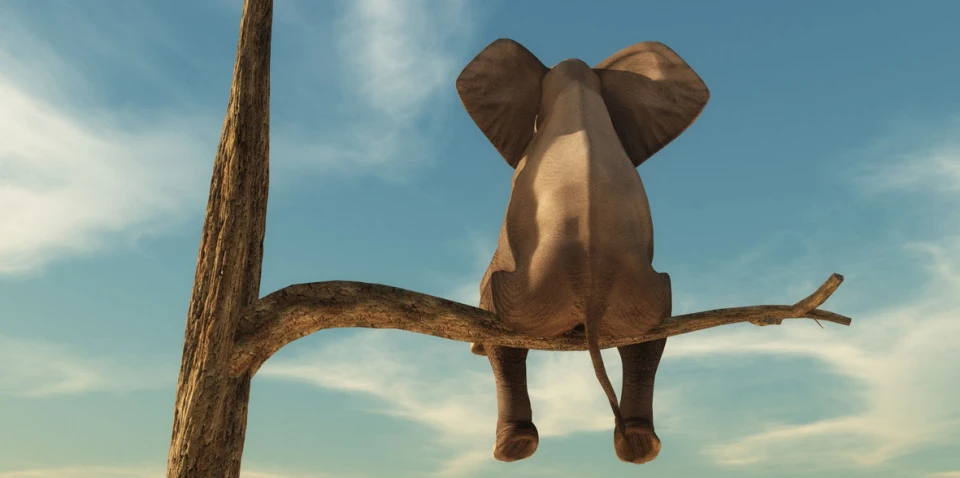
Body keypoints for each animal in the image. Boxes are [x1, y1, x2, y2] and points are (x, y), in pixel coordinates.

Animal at [455, 39, 709, 464]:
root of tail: (593, 291)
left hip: (528, 297)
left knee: (503, 329)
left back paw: (513, 447)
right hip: (640, 295)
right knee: (649, 335)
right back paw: (639, 445)